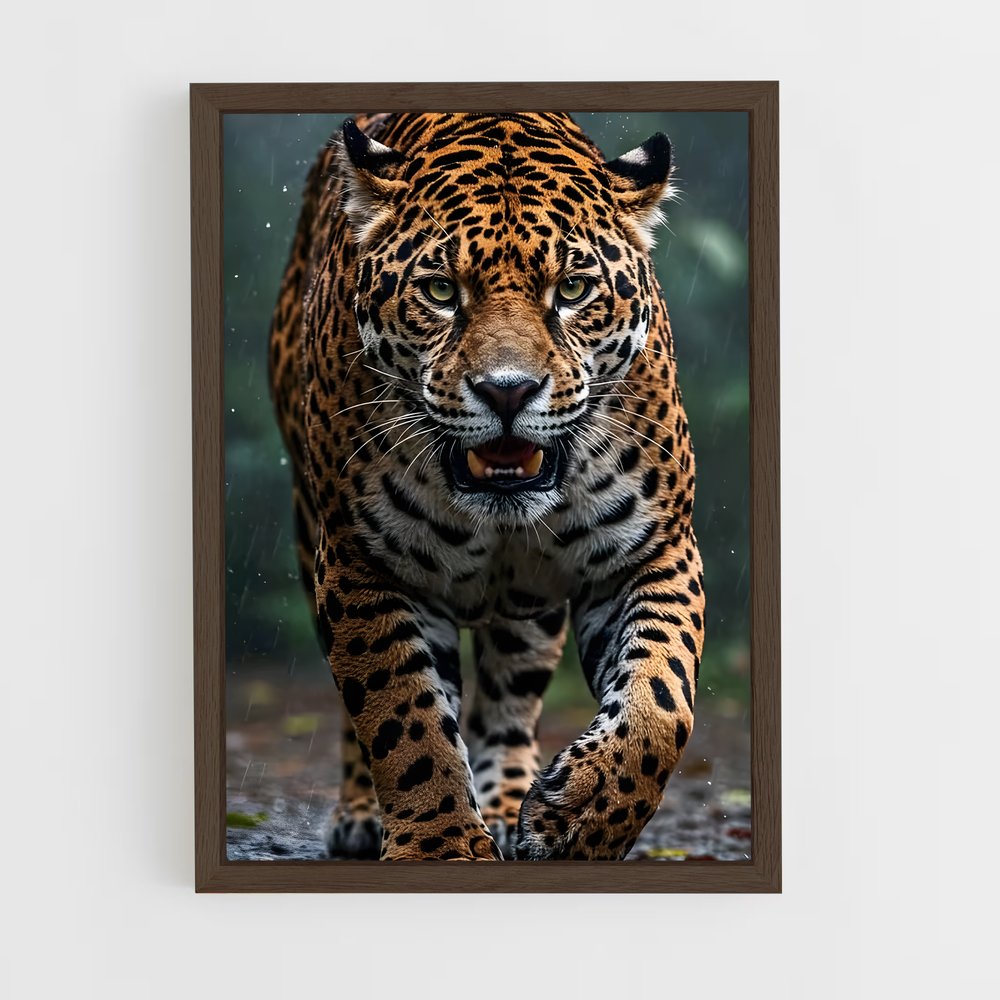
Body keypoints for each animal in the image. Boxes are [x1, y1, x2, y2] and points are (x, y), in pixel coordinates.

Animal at [268, 112, 705, 861]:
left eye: (573, 291)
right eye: (442, 292)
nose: (508, 391)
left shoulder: (655, 551)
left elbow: (661, 703)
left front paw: (578, 819)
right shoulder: (360, 563)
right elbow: (403, 717)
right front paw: (439, 845)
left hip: (530, 606)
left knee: (510, 694)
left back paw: (508, 805)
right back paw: (363, 815)